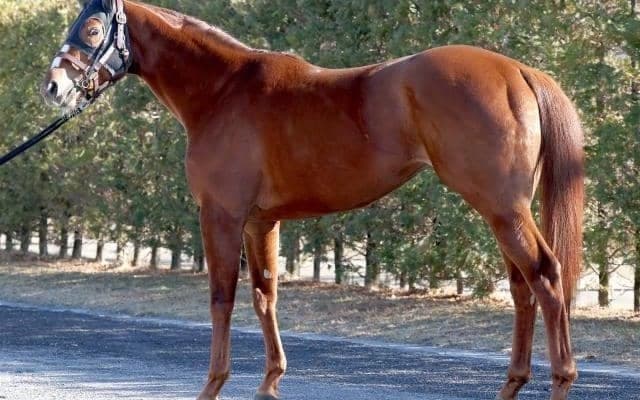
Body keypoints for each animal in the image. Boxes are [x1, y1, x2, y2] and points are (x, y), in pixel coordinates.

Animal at [41, 1, 585, 399]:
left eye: (93, 28)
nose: (53, 87)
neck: (223, 90)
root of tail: (517, 70)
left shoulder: (221, 215)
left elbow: (222, 298)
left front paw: (212, 386)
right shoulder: (261, 222)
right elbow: (265, 295)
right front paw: (270, 383)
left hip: (502, 209)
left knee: (545, 277)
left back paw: (561, 380)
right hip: (505, 211)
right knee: (522, 288)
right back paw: (511, 385)